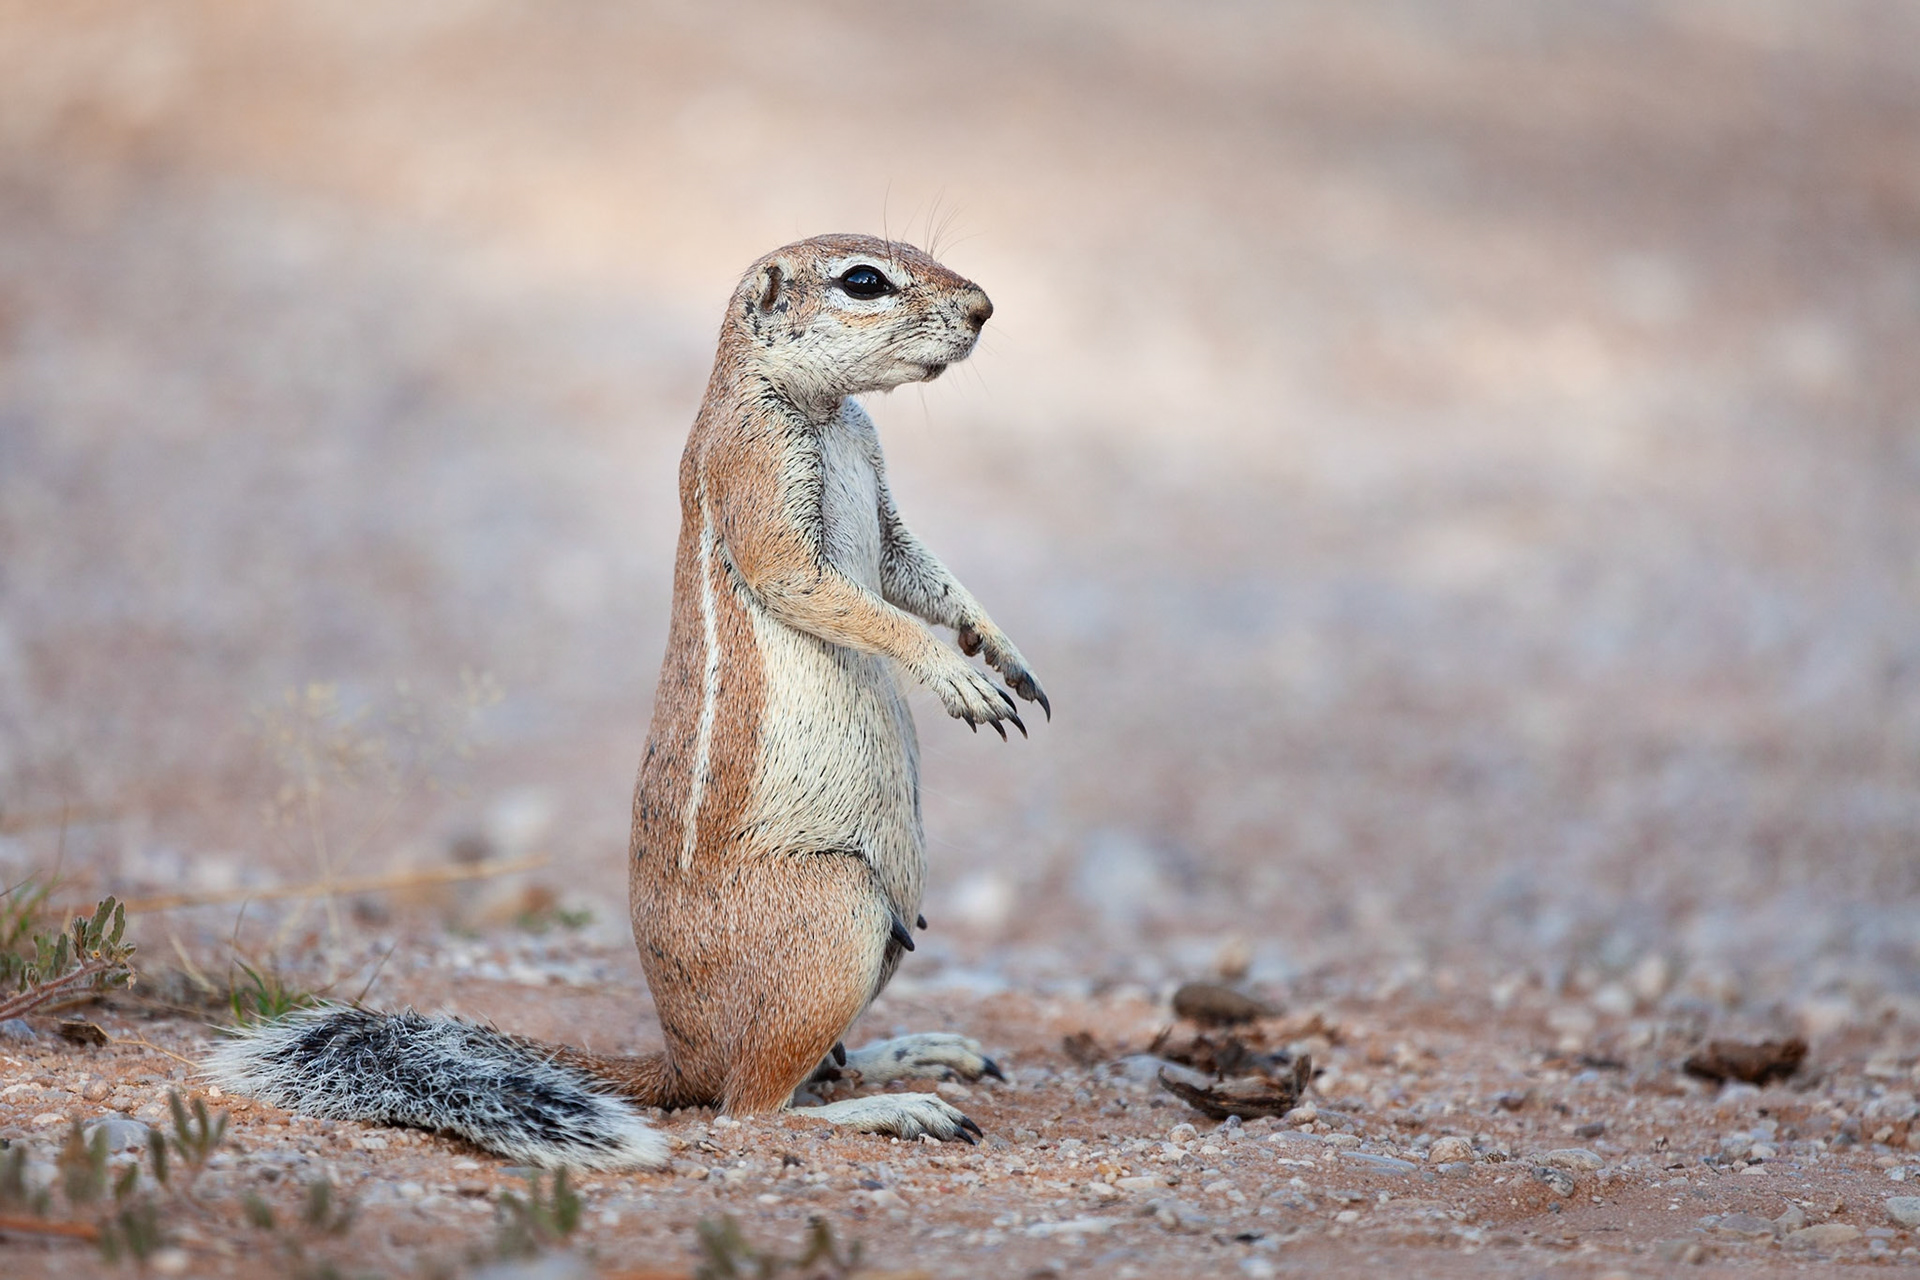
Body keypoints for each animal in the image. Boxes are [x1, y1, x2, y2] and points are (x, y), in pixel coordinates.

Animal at [205, 235, 1048, 1170]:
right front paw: (958, 678)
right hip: (839, 916)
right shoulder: (756, 469)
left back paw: (916, 1053)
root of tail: (681, 1059)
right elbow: (820, 586)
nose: (984, 309)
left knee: (801, 1075)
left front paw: (1002, 653)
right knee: (751, 1107)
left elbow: (917, 570)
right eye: (864, 280)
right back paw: (896, 1107)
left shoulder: (883, 496)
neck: (826, 412)